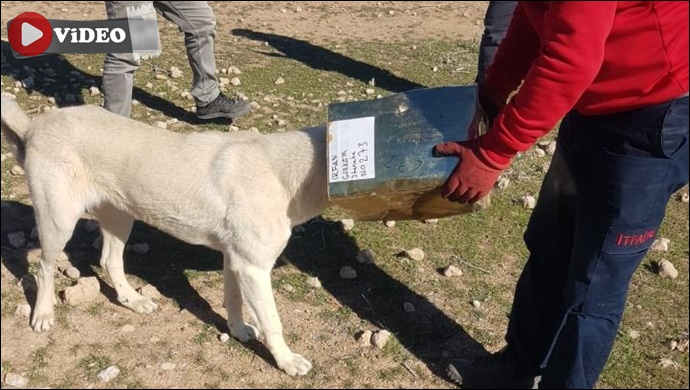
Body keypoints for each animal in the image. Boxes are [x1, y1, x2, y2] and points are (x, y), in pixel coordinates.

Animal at [0, 96, 328, 374]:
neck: (283, 175)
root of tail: (35, 126)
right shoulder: (253, 267)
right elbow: (272, 321)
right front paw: (287, 361)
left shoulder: (236, 261)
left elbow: (233, 300)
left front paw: (238, 330)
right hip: (59, 220)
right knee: (44, 268)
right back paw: (43, 314)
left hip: (120, 216)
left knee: (109, 261)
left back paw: (133, 300)